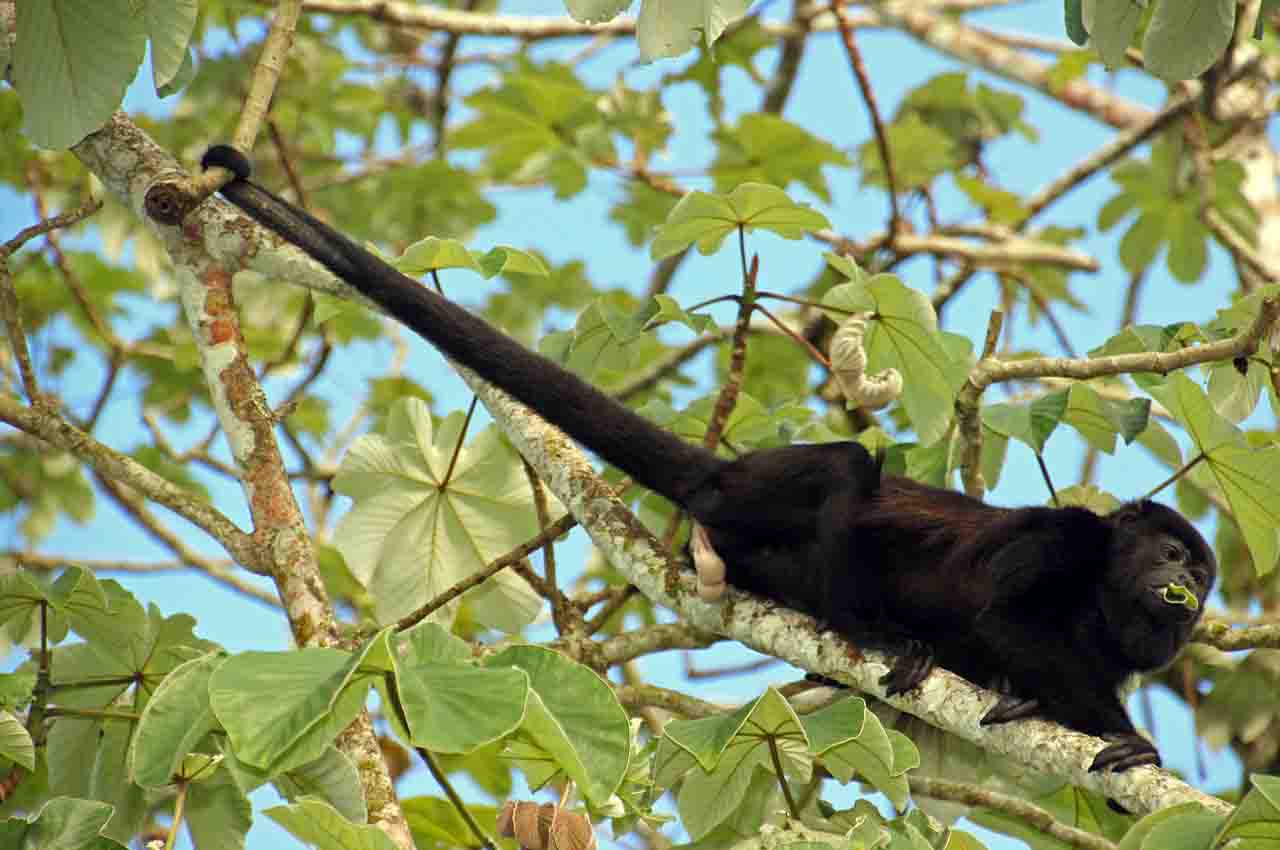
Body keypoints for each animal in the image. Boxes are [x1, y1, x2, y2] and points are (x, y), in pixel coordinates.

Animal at [202, 144, 1218, 768]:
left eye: (1203, 578)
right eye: (1173, 554)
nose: (1189, 592)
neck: (1103, 590)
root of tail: (718, 473)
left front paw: (1045, 705)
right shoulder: (1067, 537)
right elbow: (1006, 610)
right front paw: (1122, 736)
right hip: (755, 490)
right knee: (849, 467)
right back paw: (876, 633)